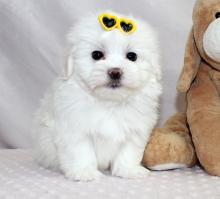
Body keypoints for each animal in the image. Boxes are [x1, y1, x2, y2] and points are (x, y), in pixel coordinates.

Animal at [34, 11, 162, 181]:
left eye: (132, 56)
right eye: (96, 55)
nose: (115, 72)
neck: (109, 102)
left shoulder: (136, 129)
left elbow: (129, 151)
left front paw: (128, 170)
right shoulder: (74, 128)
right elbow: (81, 150)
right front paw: (84, 172)